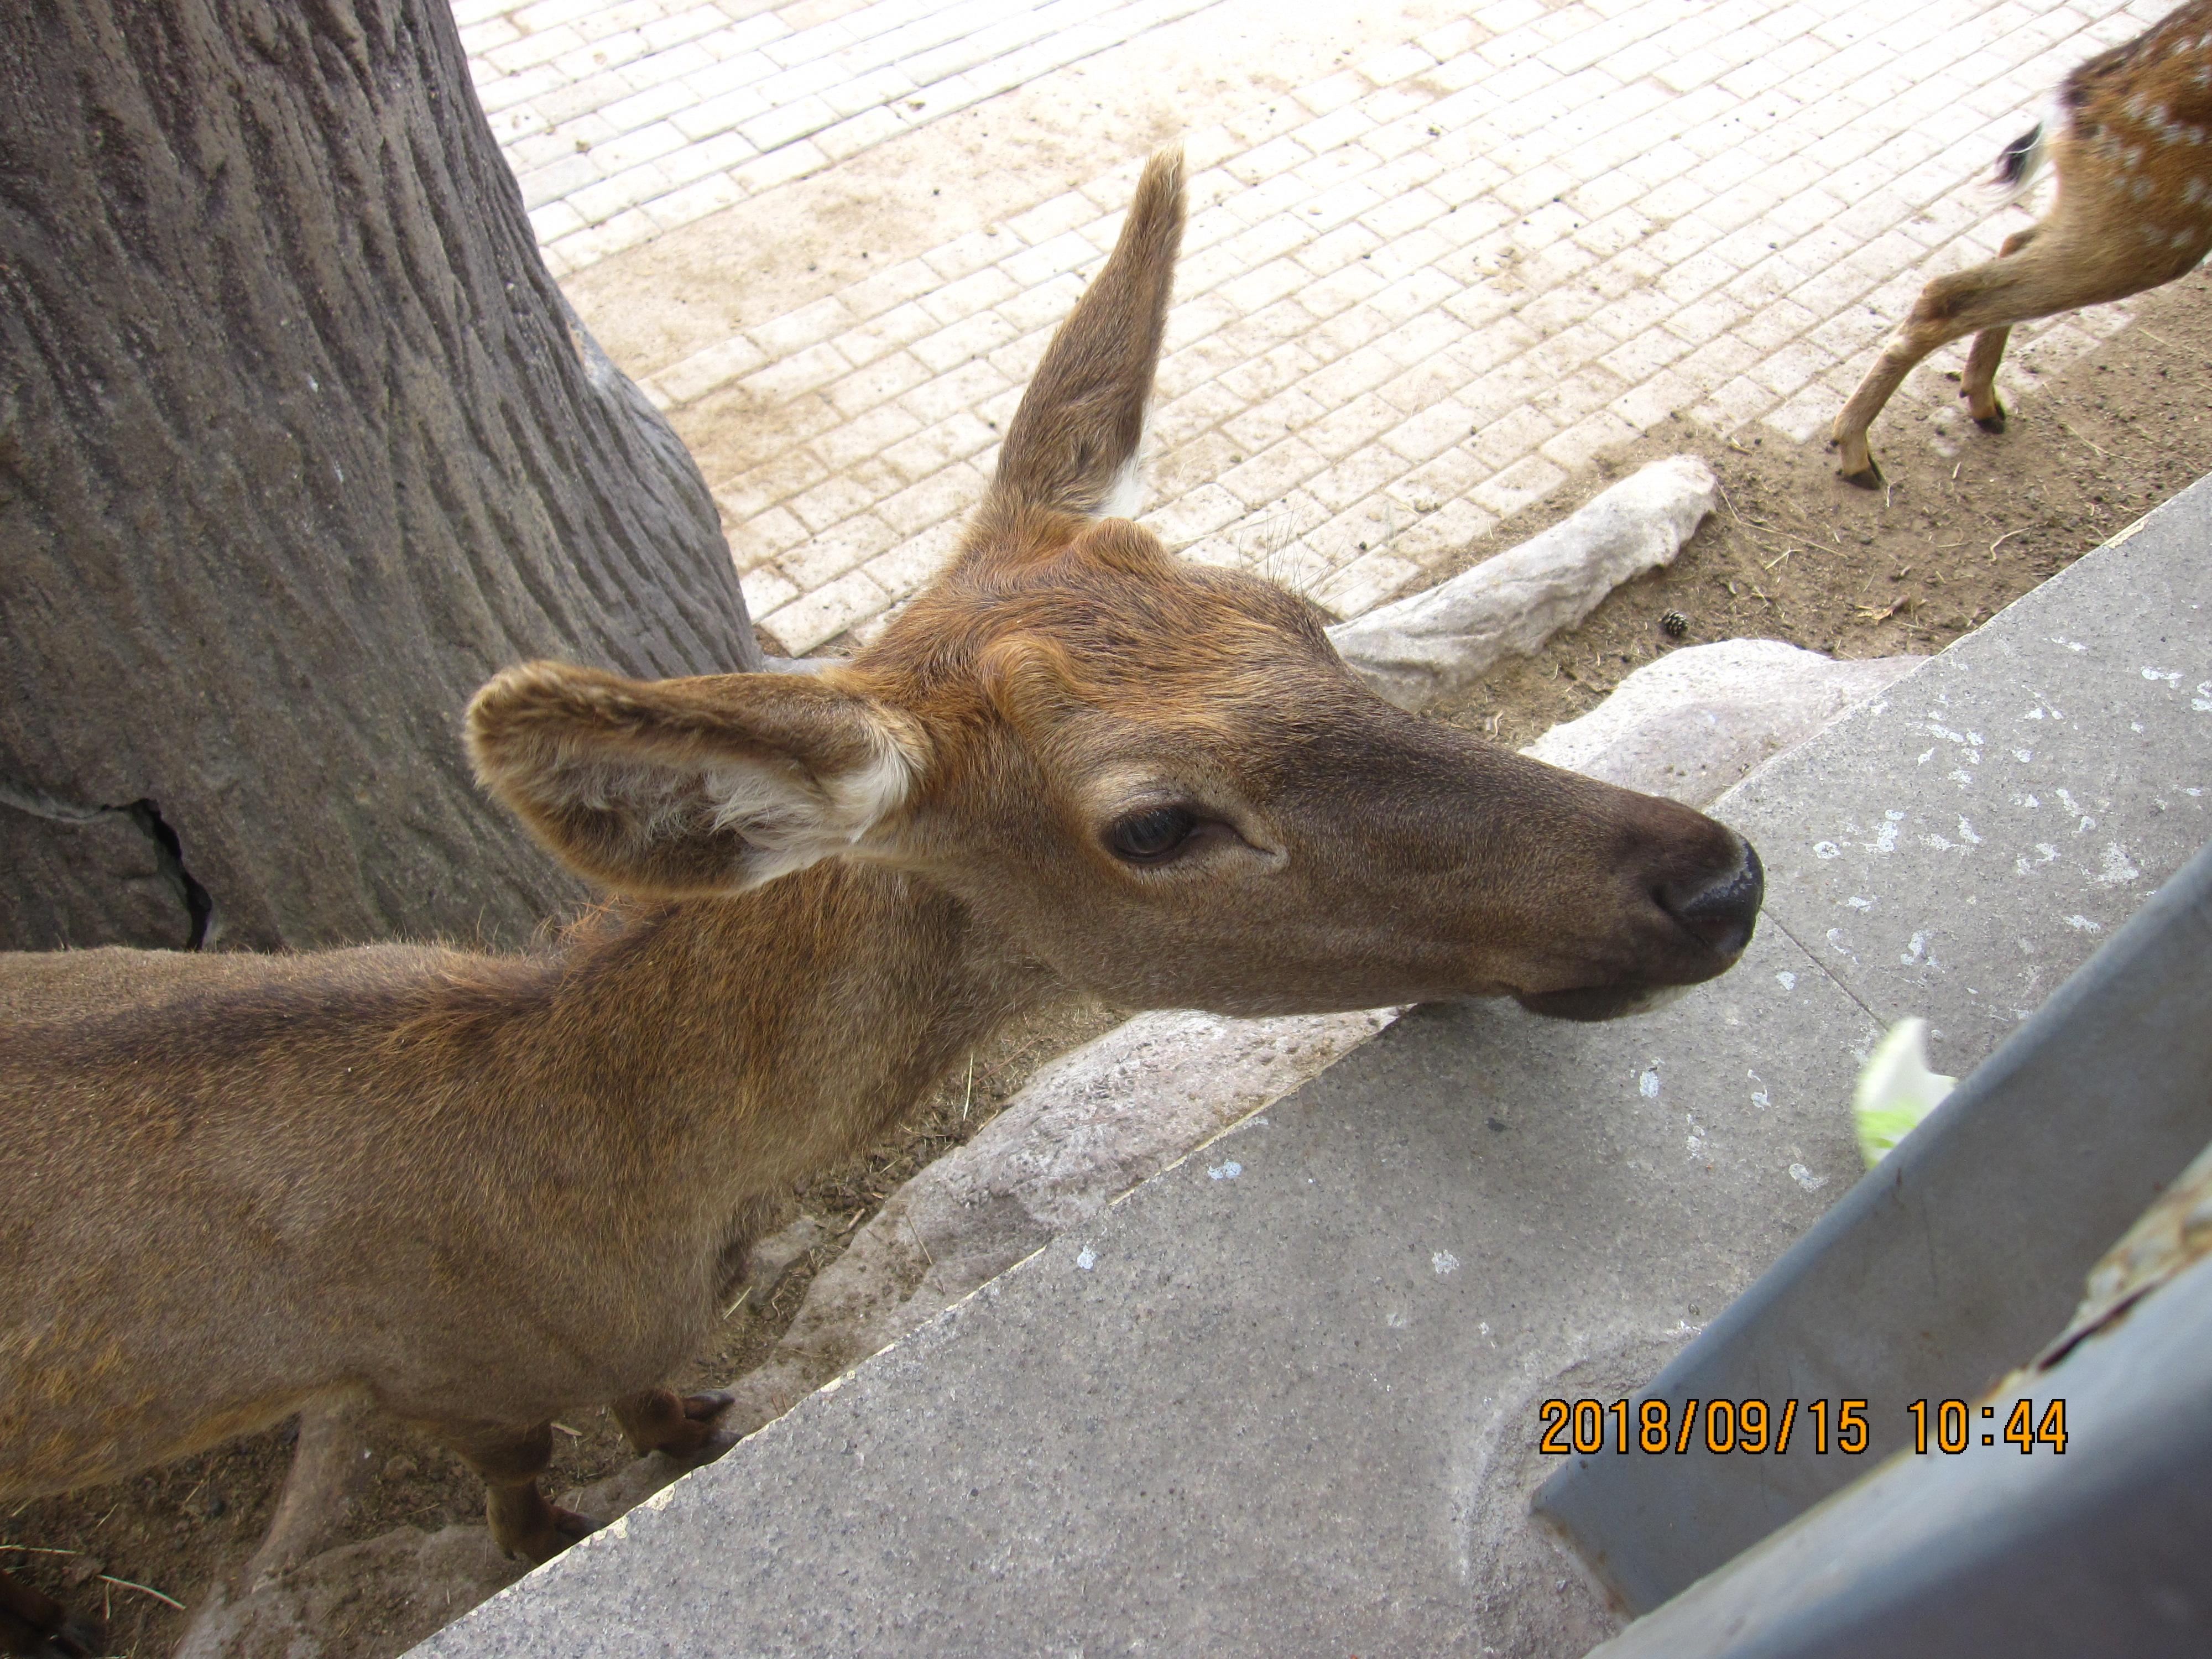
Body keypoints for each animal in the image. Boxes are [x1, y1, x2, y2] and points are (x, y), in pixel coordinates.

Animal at [0, 149, 1761, 1655]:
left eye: (1289, 609)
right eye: (1156, 823)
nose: (1713, 877)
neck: (609, 1179)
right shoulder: (437, 1376)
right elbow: (533, 1485)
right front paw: (613, 1489)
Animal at [1832, 0, 2212, 491]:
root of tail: (2076, 95)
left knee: (2014, 241)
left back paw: (1982, 403)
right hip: (2155, 218)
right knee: (1950, 291)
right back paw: (1858, 455)